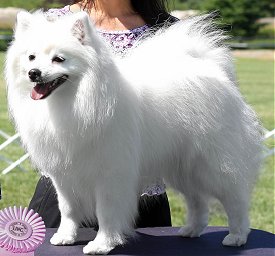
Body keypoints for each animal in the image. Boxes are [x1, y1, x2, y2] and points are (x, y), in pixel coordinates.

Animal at [4, 10, 264, 254]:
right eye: (31, 57)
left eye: (59, 59)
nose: (34, 72)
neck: (73, 101)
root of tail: (214, 71)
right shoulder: (65, 174)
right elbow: (67, 209)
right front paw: (65, 237)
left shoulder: (110, 173)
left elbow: (106, 211)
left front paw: (102, 244)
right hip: (183, 167)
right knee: (198, 201)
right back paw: (191, 230)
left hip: (214, 164)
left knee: (236, 199)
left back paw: (237, 236)